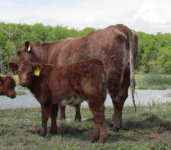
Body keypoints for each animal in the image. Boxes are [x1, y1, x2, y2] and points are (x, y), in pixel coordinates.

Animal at [9, 24, 138, 131]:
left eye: (19, 52)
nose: (11, 63)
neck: (49, 53)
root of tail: (120, 26)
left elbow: (61, 101)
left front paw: (62, 118)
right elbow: (77, 103)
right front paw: (77, 118)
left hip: (112, 73)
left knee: (117, 97)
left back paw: (116, 125)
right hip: (126, 72)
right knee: (123, 96)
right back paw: (114, 123)